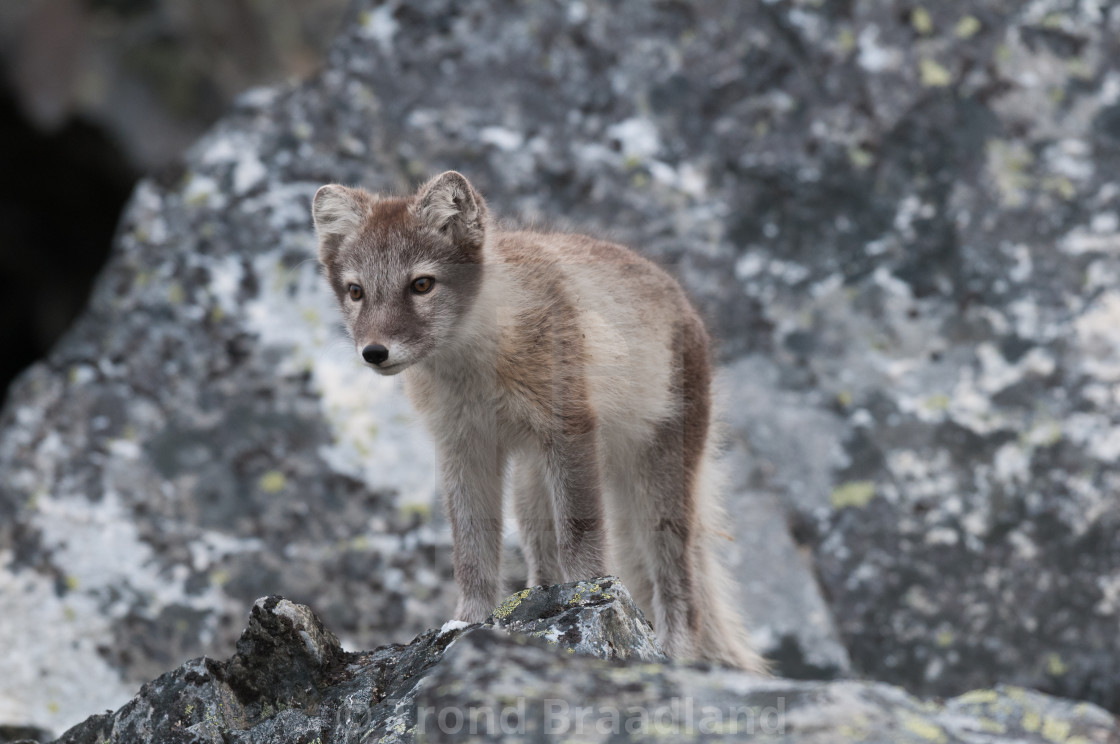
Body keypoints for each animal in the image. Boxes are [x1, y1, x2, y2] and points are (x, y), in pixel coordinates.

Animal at [315, 171, 770, 672]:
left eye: (421, 284)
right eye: (356, 291)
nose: (374, 352)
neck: (478, 367)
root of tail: (683, 302)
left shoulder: (569, 429)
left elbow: (581, 536)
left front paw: (591, 597)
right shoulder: (462, 447)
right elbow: (471, 551)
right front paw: (466, 623)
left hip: (658, 487)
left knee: (682, 591)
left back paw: (673, 656)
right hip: (531, 482)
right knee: (542, 557)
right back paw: (538, 600)